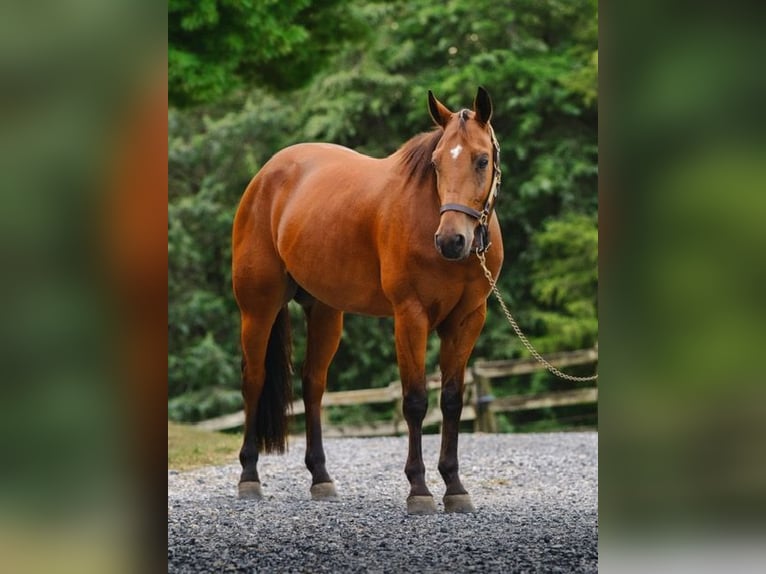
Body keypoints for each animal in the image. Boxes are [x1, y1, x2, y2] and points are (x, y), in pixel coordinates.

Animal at [231, 87, 503, 514]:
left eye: (481, 160)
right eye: (436, 163)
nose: (451, 241)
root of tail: (267, 174)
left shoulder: (467, 320)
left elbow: (452, 401)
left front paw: (455, 486)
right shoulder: (410, 316)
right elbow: (415, 400)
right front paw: (419, 489)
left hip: (325, 312)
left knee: (313, 384)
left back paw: (321, 478)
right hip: (258, 308)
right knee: (254, 380)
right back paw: (249, 476)